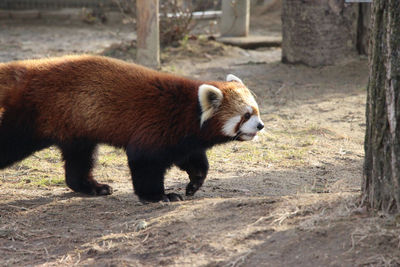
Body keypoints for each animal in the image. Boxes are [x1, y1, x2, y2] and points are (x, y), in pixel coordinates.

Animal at [0, 56, 266, 203]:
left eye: (257, 111)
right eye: (246, 115)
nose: (261, 125)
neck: (188, 111)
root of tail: (31, 68)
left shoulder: (183, 140)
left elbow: (194, 161)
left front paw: (194, 183)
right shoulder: (156, 127)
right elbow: (144, 161)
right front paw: (160, 196)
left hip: (76, 127)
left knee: (79, 159)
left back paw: (91, 187)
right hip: (32, 119)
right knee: (10, 143)